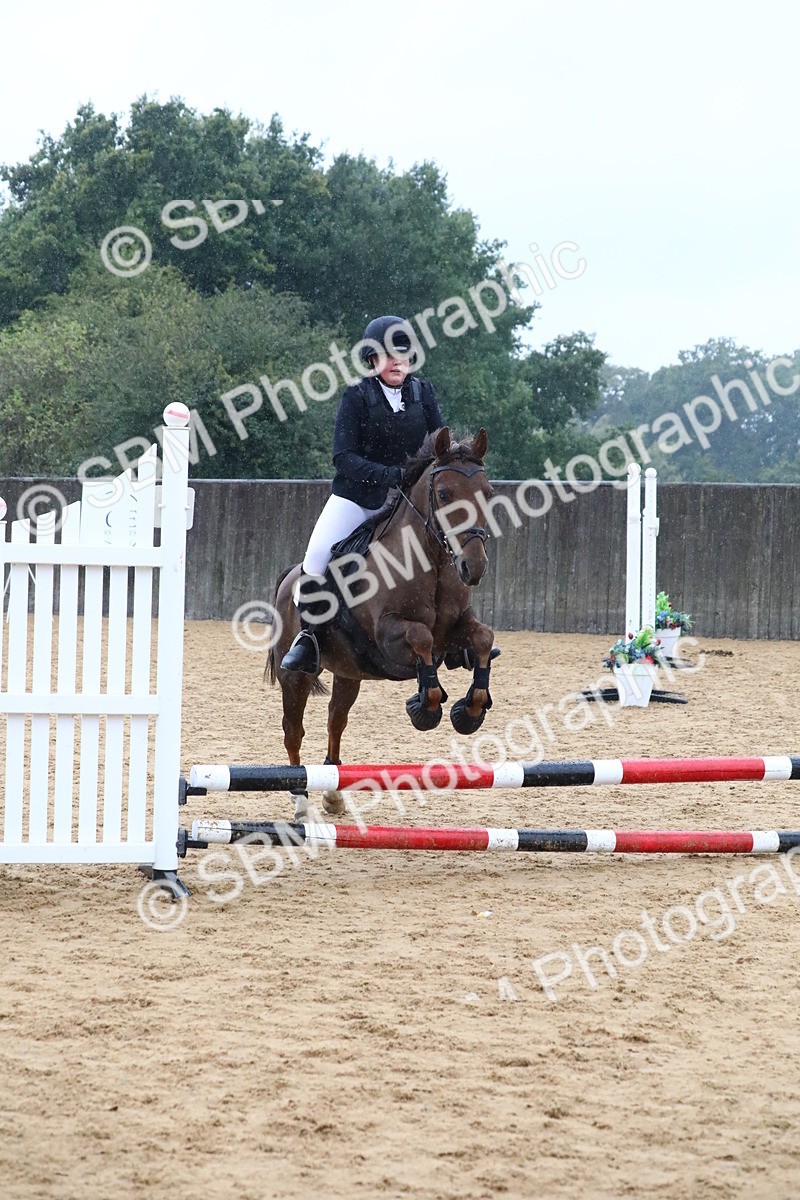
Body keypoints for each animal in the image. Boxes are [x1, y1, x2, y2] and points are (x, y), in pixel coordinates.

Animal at [266, 427, 496, 816]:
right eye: (444, 494)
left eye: (488, 493)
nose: (473, 567)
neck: (431, 563)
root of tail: (288, 578)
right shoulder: (389, 637)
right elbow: (421, 639)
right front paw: (424, 707)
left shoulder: (456, 630)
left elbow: (483, 638)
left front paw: (469, 710)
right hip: (294, 676)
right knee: (293, 731)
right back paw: (301, 803)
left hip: (349, 672)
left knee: (336, 719)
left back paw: (333, 793)